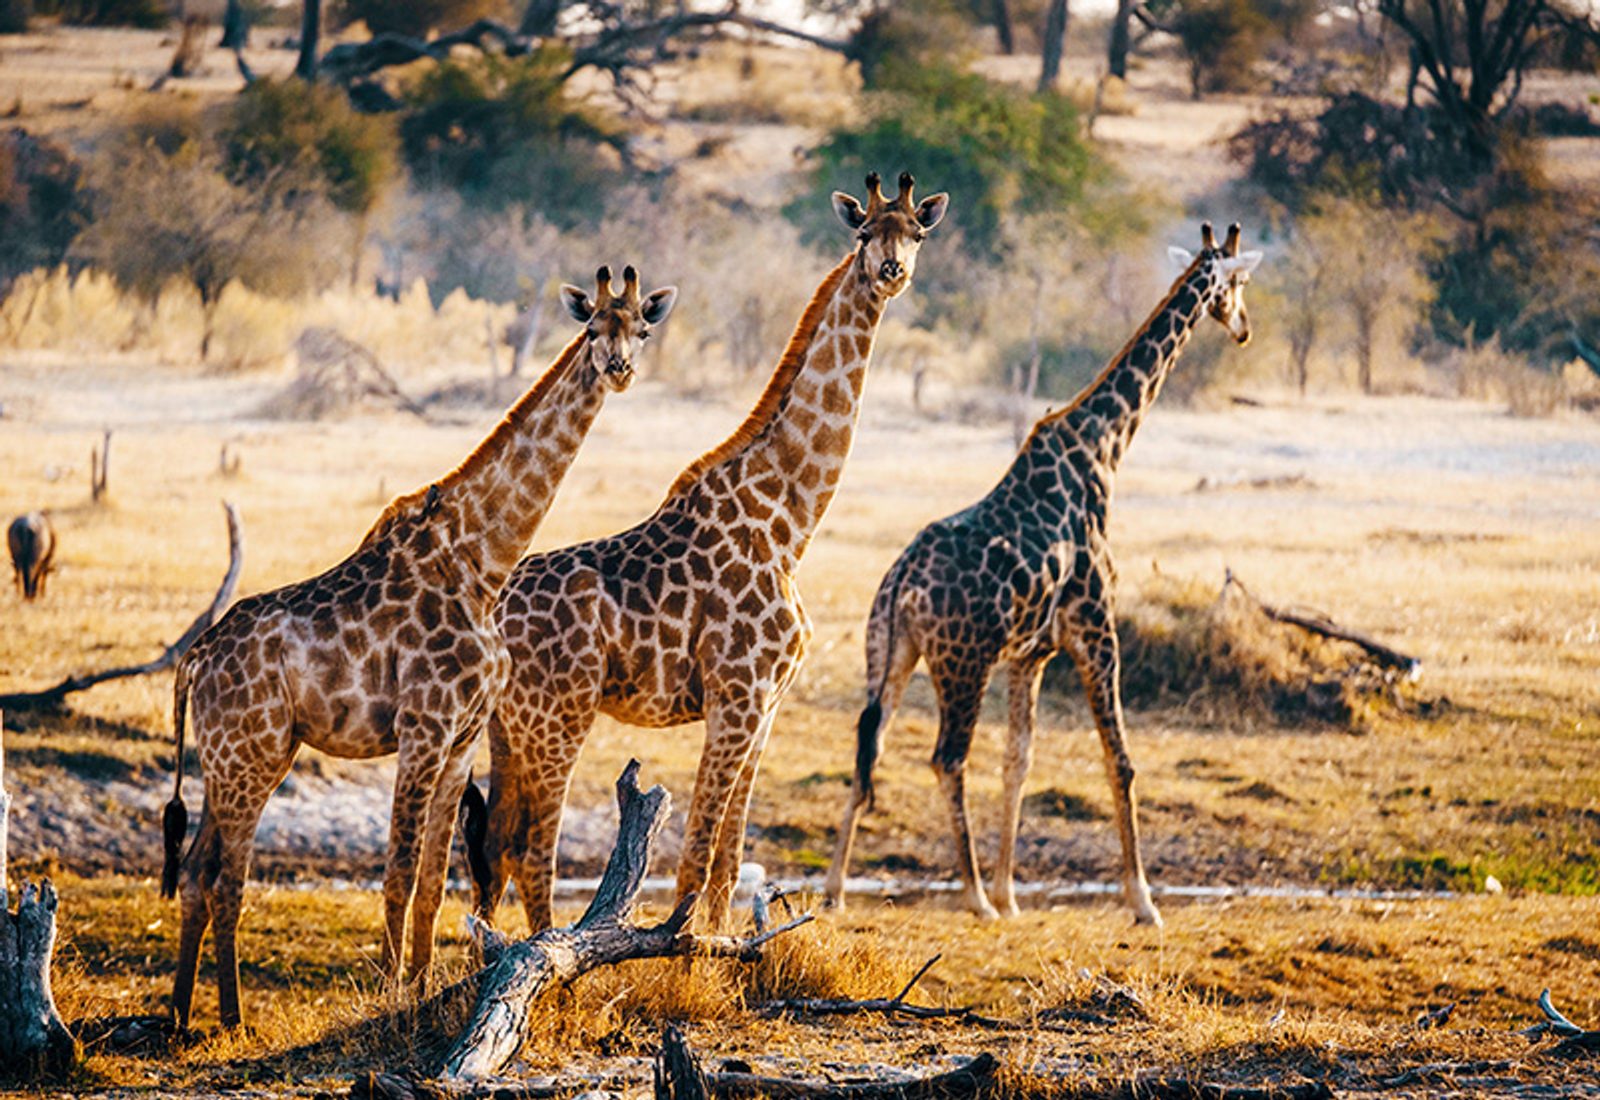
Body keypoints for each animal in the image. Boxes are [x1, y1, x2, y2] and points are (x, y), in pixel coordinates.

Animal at [160, 266, 677, 1029]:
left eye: (641, 328)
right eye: (591, 327)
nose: (619, 369)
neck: (482, 562)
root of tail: (196, 659)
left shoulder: (460, 739)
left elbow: (434, 876)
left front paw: (423, 984)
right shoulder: (423, 726)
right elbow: (399, 869)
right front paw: (385, 989)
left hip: (245, 755)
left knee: (199, 870)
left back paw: (184, 1016)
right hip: (247, 755)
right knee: (223, 875)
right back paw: (225, 1018)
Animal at [472, 173, 949, 934]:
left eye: (917, 232)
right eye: (862, 232)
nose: (890, 272)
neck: (788, 523)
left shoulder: (766, 706)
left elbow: (728, 865)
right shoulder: (737, 696)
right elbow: (696, 860)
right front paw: (679, 955)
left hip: (508, 729)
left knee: (494, 847)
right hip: (558, 719)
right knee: (533, 852)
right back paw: (544, 955)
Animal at [824, 223, 1263, 923]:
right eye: (1239, 281)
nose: (1243, 327)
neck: (1105, 447)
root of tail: (902, 587)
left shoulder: (1031, 653)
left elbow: (1018, 761)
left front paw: (1012, 894)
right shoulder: (1095, 631)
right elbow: (1121, 760)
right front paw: (1142, 900)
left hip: (888, 653)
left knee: (871, 743)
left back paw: (838, 889)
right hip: (962, 663)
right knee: (946, 758)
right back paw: (973, 895)